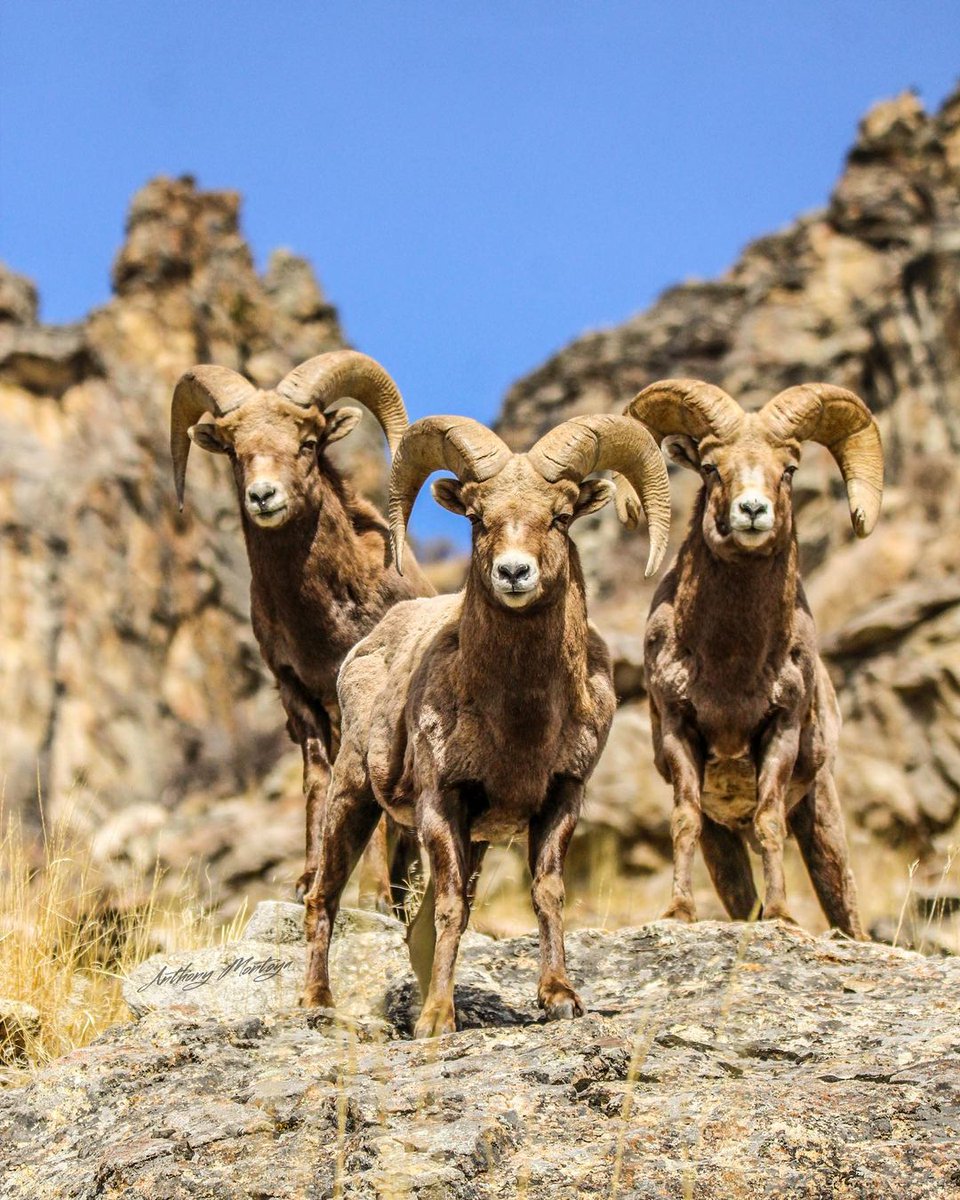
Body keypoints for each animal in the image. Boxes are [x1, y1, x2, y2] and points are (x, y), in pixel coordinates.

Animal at [170, 350, 434, 908]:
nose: (263, 496)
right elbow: (318, 783)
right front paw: (306, 882)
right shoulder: (299, 695)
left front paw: (371, 897)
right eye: (234, 451)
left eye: (307, 443)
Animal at [301, 412, 672, 1036]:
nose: (514, 573)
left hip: (469, 842)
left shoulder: (561, 799)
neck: (519, 722)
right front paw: (435, 1022)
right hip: (352, 798)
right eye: (477, 518)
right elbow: (453, 909)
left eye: (561, 516)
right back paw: (317, 1004)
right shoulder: (442, 803)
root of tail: (367, 647)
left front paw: (559, 998)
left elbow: (546, 893)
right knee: (324, 897)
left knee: (416, 929)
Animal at [625, 379, 883, 936]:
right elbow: (684, 819)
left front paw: (782, 917)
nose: (751, 511)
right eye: (710, 467)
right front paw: (678, 913)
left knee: (843, 904)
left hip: (822, 821)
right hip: (723, 844)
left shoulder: (779, 731)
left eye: (788, 469)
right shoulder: (681, 732)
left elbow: (767, 821)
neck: (731, 666)